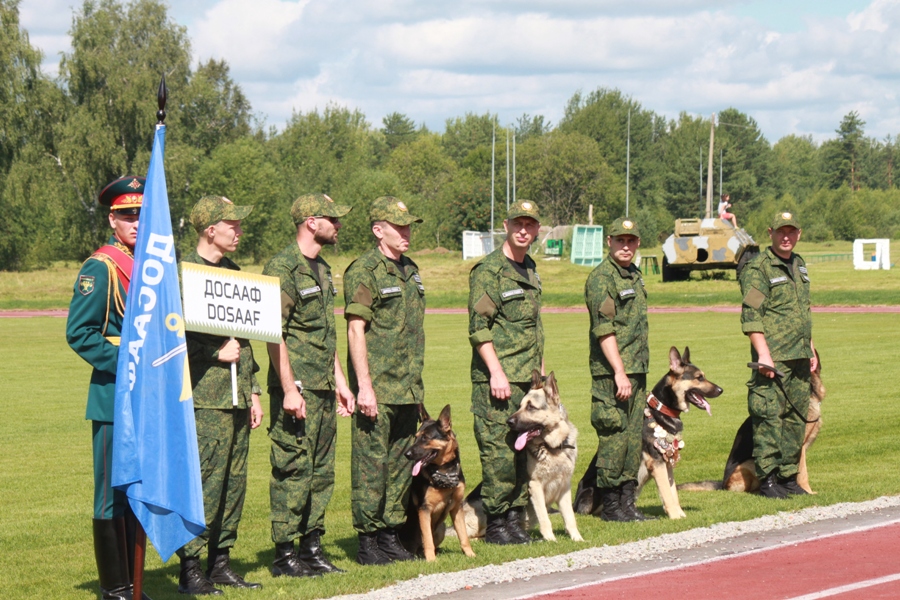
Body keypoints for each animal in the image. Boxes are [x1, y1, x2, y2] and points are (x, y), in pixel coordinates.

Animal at [400, 404, 474, 564]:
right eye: (416, 437)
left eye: (425, 438)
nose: (407, 454)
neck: (444, 471)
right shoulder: (424, 510)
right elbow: (427, 539)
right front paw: (432, 561)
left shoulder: (456, 508)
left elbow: (463, 535)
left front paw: (471, 554)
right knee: (420, 546)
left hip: (442, 528)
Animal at [464, 372, 584, 540]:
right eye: (519, 406)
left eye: (531, 407)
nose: (508, 422)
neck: (552, 448)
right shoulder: (535, 486)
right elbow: (544, 517)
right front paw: (550, 539)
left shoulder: (565, 487)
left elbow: (570, 517)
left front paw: (577, 538)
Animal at [576, 350, 724, 516]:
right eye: (699, 377)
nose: (721, 390)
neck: (660, 409)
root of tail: (575, 504)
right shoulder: (657, 463)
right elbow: (667, 492)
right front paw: (675, 516)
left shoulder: (667, 463)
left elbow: (673, 492)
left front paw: (679, 513)